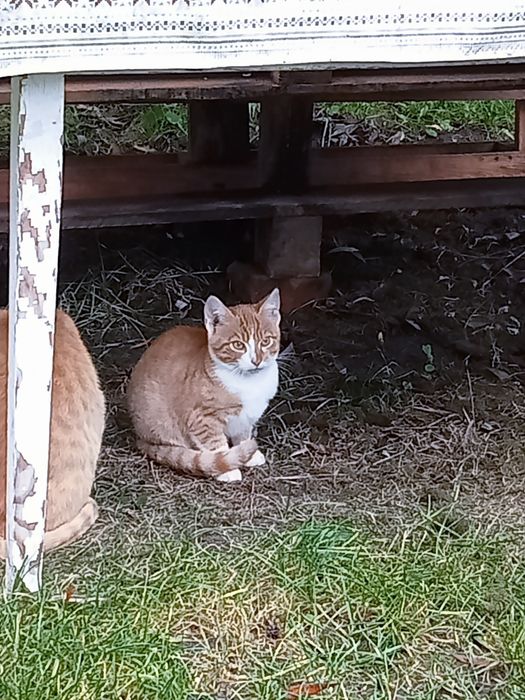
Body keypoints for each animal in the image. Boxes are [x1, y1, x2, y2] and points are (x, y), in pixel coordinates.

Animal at [127, 290, 280, 482]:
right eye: (238, 345)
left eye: (266, 341)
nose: (256, 360)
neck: (250, 382)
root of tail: (139, 436)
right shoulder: (202, 418)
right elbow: (215, 443)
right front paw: (227, 468)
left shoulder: (247, 416)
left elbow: (243, 434)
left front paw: (248, 454)